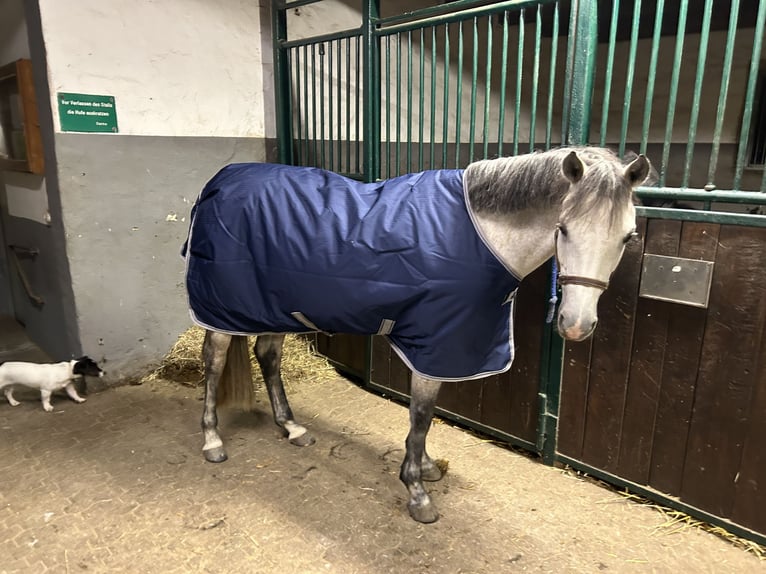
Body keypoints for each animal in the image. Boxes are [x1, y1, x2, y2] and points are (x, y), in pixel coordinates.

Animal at [183, 145, 652, 528]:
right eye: (564, 229)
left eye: (628, 236)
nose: (575, 324)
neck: (479, 233)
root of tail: (219, 181)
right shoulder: (434, 342)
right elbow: (422, 417)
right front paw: (417, 491)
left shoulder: (443, 346)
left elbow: (424, 417)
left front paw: (424, 468)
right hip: (223, 309)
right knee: (215, 362)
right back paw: (212, 440)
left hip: (274, 305)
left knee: (268, 355)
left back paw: (293, 428)